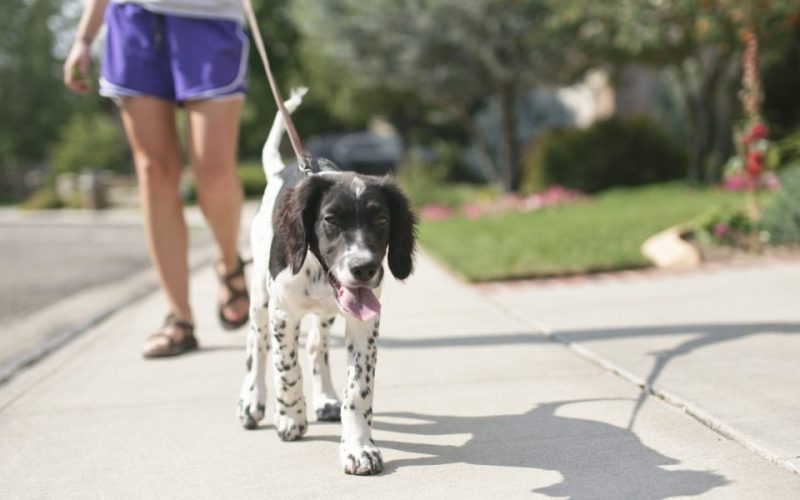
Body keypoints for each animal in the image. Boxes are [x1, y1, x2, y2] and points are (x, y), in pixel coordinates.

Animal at [238, 88, 418, 474]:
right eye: (331, 220)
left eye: (381, 219)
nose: (364, 268)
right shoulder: (283, 312)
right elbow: (285, 367)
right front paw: (290, 417)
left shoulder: (365, 320)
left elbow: (358, 388)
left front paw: (359, 447)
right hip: (260, 298)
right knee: (256, 345)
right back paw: (252, 401)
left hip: (325, 313)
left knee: (316, 347)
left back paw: (324, 399)